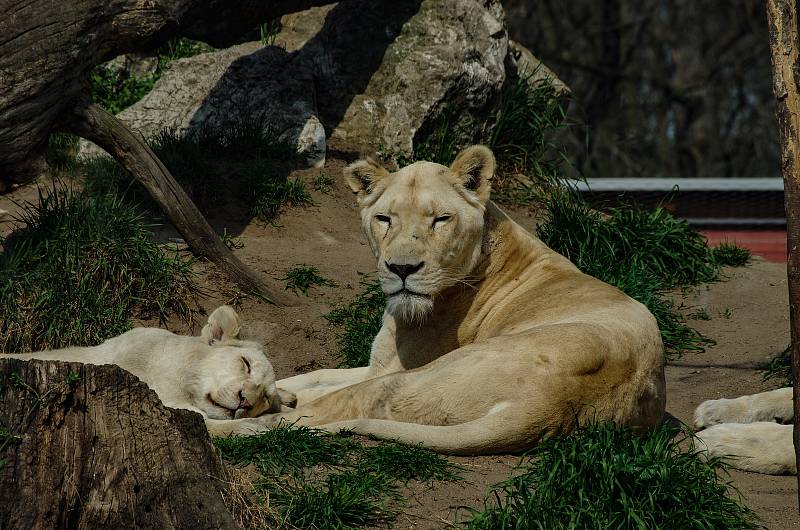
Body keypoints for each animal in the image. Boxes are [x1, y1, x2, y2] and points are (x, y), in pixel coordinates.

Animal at [219, 144, 668, 454]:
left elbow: (312, 392)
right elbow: (310, 375)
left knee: (305, 417)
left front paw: (265, 396)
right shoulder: (376, 363)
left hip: (415, 379)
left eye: (440, 219)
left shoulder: (391, 369)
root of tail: (551, 407)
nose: (402, 269)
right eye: (384, 218)